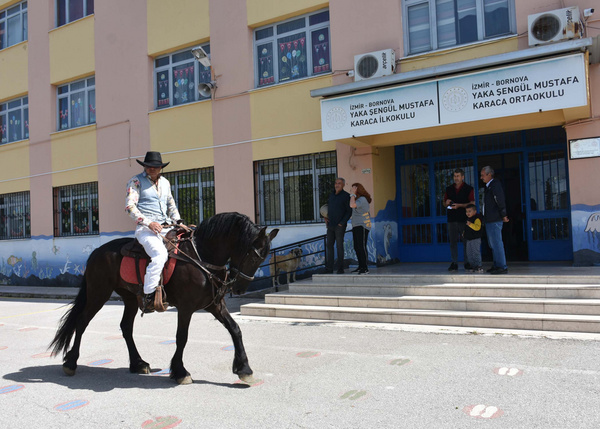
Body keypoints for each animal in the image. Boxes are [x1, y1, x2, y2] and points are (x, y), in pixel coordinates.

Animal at [49, 212, 278, 382]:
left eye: (263, 257)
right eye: (252, 255)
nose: (239, 289)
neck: (202, 256)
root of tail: (97, 251)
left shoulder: (215, 305)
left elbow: (235, 329)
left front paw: (244, 368)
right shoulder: (186, 307)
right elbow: (182, 337)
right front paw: (180, 372)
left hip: (130, 299)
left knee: (126, 327)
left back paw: (138, 363)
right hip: (98, 294)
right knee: (82, 322)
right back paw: (71, 363)